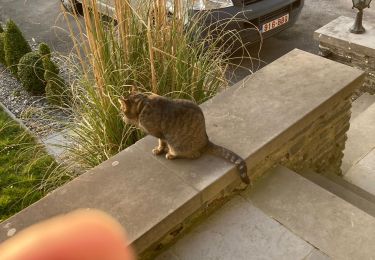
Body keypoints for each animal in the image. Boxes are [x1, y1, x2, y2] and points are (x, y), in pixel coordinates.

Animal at [119, 90, 251, 184]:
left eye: (121, 109)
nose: (122, 118)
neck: (143, 104)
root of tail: (206, 141)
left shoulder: (160, 133)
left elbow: (161, 142)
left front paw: (159, 149)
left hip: (176, 143)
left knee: (194, 154)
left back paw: (171, 154)